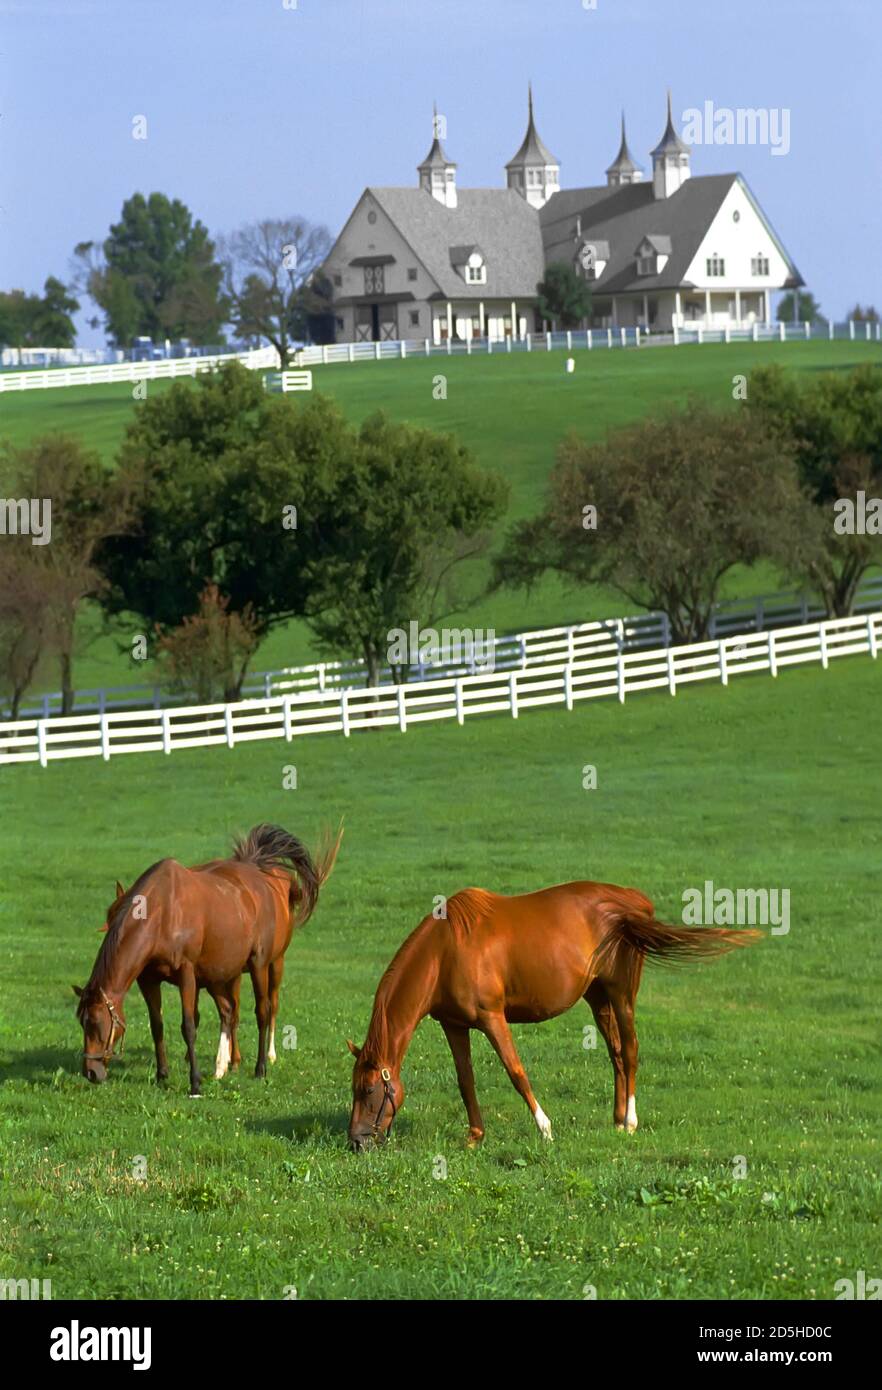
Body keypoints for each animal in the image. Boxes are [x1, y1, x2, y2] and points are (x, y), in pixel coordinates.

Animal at [74, 823, 341, 1094]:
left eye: (97, 1023)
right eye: (82, 1023)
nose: (90, 1072)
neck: (163, 913)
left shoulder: (187, 974)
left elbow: (189, 1026)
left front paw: (195, 1082)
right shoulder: (149, 979)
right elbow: (157, 1025)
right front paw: (162, 1075)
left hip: (262, 965)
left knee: (264, 1010)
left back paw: (261, 1067)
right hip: (222, 974)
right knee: (229, 1010)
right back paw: (223, 1065)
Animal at [347, 880, 759, 1151]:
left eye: (368, 1090)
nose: (356, 1142)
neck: (446, 950)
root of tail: (633, 902)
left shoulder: (492, 1019)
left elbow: (516, 1072)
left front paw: (544, 1128)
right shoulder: (454, 1025)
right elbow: (466, 1081)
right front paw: (475, 1137)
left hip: (622, 995)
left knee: (630, 1051)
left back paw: (630, 1121)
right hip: (598, 998)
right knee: (615, 1055)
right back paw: (616, 1120)